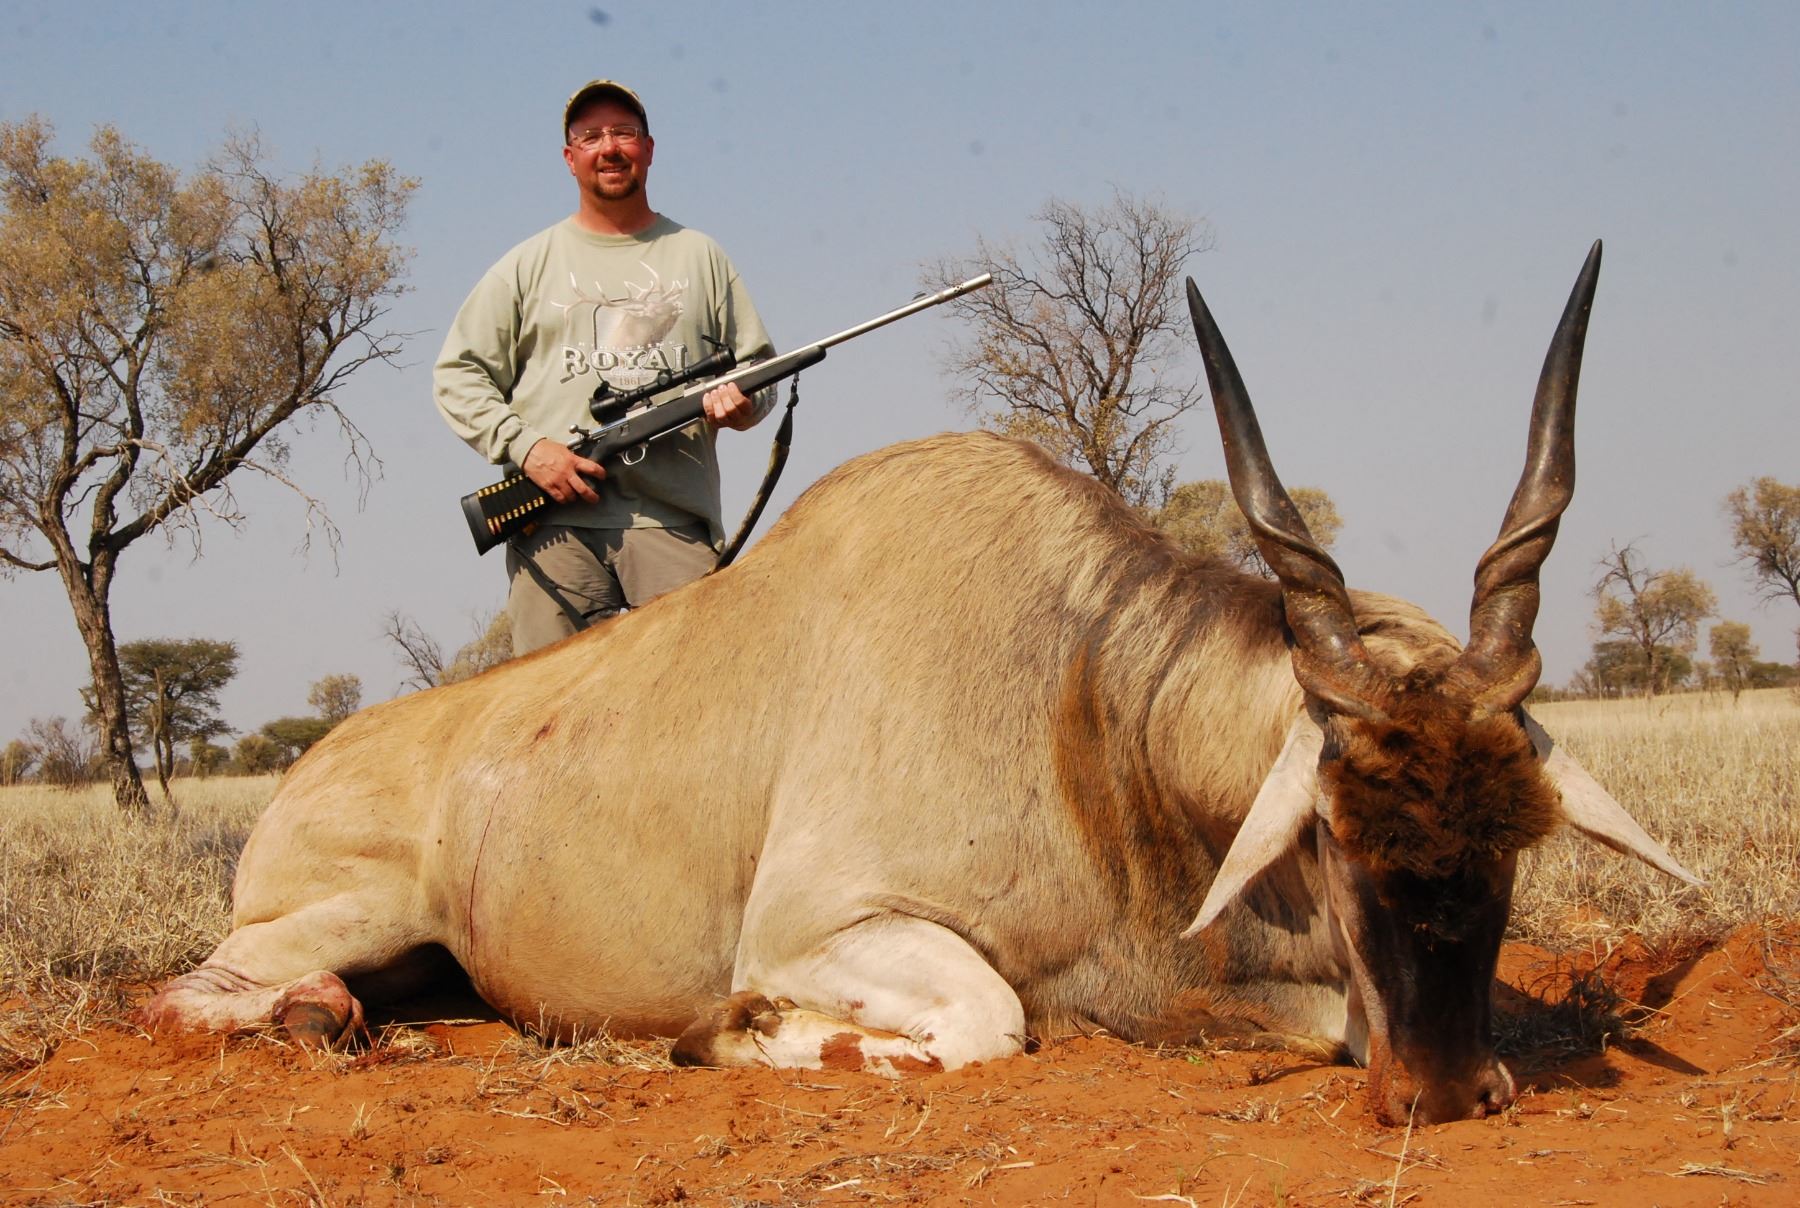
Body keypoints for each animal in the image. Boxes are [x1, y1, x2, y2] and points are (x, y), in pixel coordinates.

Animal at [142, 241, 1695, 1124]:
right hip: (334, 916)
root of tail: (309, 770)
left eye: (1514, 844)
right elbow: (987, 1022)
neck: (1082, 697)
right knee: (185, 998)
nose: (1453, 1093)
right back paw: (316, 1018)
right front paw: (738, 1040)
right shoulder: (823, 927)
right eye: (1333, 830)